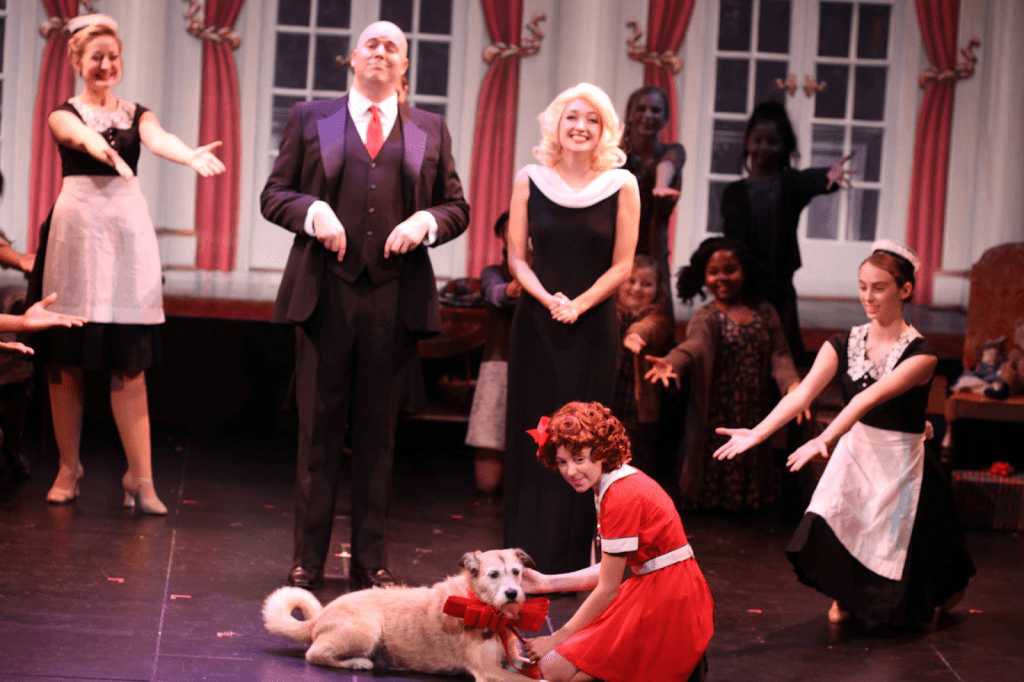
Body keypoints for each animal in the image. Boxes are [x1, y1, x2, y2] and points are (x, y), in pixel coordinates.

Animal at [260, 548, 540, 679]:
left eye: (517, 571)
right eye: (493, 575)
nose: (513, 593)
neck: (481, 604)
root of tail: (318, 617)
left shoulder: (512, 661)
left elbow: (535, 667)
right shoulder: (489, 671)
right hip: (368, 629)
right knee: (314, 655)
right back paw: (357, 662)